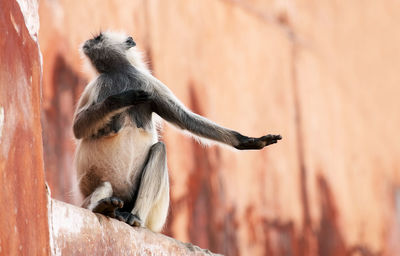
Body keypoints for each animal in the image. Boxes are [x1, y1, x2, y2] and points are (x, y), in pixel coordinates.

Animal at [73, 31, 282, 233]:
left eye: (98, 38)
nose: (87, 43)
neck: (118, 73)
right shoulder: (100, 85)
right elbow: (78, 128)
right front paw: (120, 100)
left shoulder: (149, 85)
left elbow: (185, 119)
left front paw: (244, 140)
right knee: (104, 185)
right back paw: (103, 207)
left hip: (154, 214)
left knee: (159, 149)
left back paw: (134, 217)